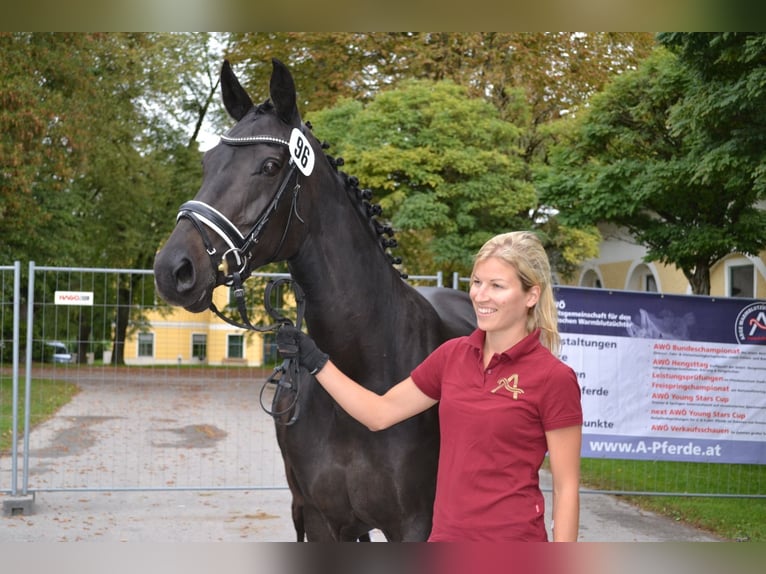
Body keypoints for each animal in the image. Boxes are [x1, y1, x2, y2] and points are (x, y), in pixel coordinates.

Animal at [153, 58, 476, 544]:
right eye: (208, 162)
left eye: (270, 165)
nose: (173, 269)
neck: (364, 375)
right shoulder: (324, 521)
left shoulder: (415, 526)